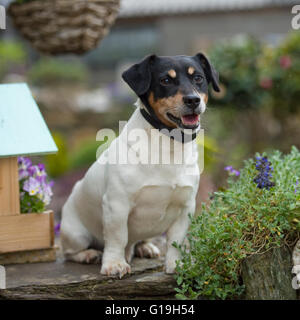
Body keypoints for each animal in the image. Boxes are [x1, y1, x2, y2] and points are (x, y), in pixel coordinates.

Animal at [60, 53, 220, 278]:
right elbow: (117, 237)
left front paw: (176, 264)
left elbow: (175, 241)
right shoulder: (116, 205)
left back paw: (144, 247)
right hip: (76, 234)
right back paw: (88, 254)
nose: (193, 100)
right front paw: (114, 264)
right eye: (165, 80)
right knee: (71, 252)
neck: (168, 143)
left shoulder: (185, 207)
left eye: (198, 78)